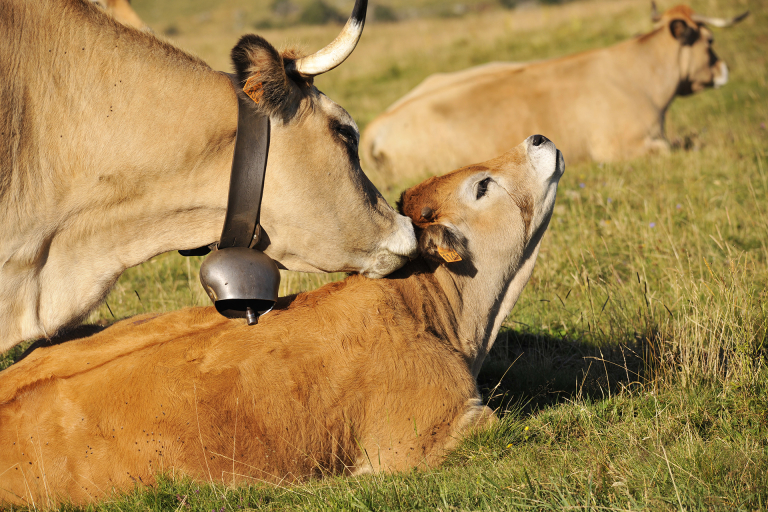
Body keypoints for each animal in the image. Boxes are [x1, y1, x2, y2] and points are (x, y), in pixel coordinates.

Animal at [362, 4, 752, 188]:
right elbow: (676, 148)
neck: (644, 77)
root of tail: (377, 125)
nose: (725, 69)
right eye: (710, 41)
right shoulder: (619, 147)